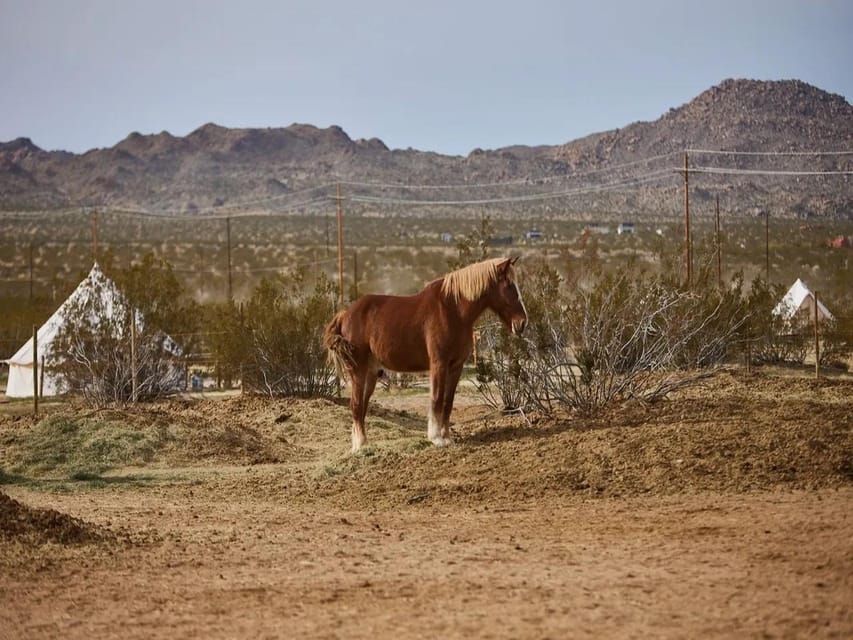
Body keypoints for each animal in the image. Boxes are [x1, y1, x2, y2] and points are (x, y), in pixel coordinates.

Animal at [322, 258, 524, 452]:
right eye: (509, 285)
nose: (522, 323)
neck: (453, 310)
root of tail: (344, 314)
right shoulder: (439, 364)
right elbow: (437, 399)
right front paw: (436, 438)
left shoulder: (456, 367)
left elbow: (448, 402)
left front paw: (447, 437)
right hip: (357, 370)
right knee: (356, 405)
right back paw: (359, 446)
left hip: (371, 374)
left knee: (362, 405)